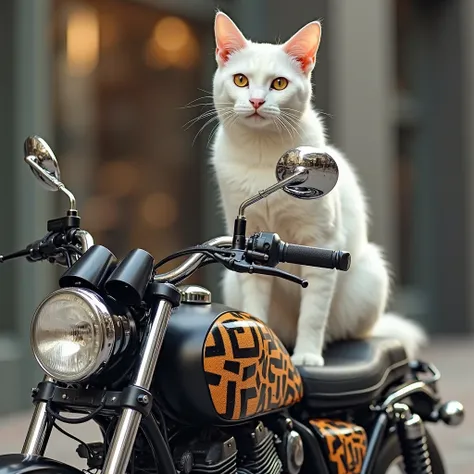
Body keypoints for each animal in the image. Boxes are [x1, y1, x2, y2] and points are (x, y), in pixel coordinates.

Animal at [209, 12, 424, 366]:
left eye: (279, 84)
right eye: (240, 80)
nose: (256, 101)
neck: (261, 153)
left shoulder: (320, 243)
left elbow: (311, 312)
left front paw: (307, 356)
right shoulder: (248, 244)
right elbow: (254, 307)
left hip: (371, 275)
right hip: (230, 282)